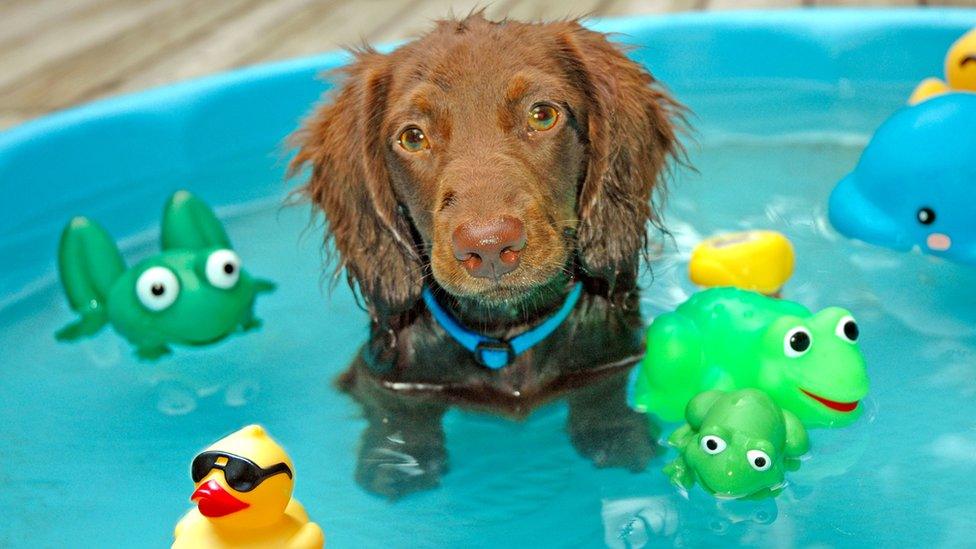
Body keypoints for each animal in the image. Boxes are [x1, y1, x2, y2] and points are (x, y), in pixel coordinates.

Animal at [294, 12, 684, 496]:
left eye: (543, 114)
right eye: (413, 137)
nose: (490, 246)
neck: (504, 335)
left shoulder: (611, 356)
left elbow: (601, 393)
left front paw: (616, 436)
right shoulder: (386, 376)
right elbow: (397, 413)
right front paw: (398, 460)